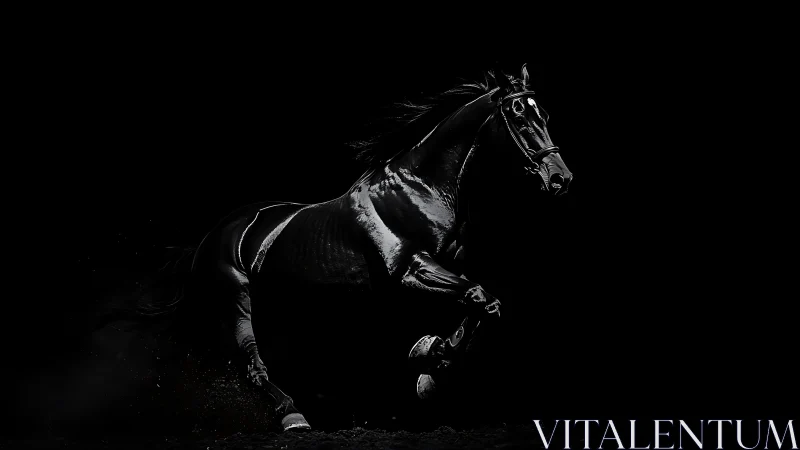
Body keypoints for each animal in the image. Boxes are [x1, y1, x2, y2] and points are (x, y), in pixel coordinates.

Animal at [161, 64, 573, 433]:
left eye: (544, 114)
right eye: (519, 117)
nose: (560, 178)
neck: (420, 190)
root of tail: (213, 235)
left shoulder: (447, 268)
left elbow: (483, 306)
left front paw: (431, 361)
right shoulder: (411, 269)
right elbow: (476, 295)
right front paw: (431, 360)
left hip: (283, 305)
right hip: (237, 300)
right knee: (254, 364)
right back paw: (292, 416)